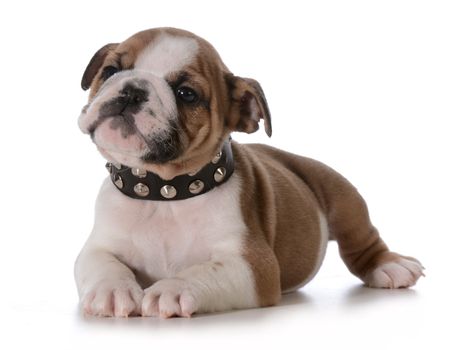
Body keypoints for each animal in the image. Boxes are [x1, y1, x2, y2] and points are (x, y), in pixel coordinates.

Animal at [75, 27, 424, 318]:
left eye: (187, 94)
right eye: (111, 71)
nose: (133, 89)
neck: (164, 191)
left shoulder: (252, 266)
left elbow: (203, 271)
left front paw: (173, 289)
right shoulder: (97, 247)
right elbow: (100, 263)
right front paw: (112, 289)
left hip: (343, 197)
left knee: (362, 239)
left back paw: (391, 266)